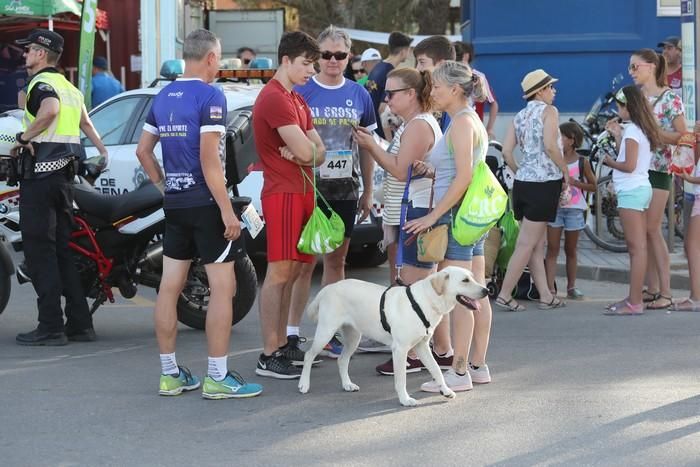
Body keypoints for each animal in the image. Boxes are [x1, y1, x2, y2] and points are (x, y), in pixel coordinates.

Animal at [300, 266, 486, 406]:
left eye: (472, 277)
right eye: (465, 280)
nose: (486, 290)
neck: (424, 301)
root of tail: (329, 287)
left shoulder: (422, 347)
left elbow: (436, 369)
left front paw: (445, 390)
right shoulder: (400, 349)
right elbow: (401, 378)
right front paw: (405, 400)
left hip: (353, 337)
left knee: (342, 360)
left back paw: (347, 384)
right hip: (326, 331)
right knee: (309, 355)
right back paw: (303, 384)